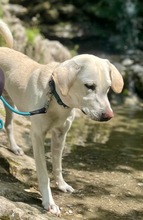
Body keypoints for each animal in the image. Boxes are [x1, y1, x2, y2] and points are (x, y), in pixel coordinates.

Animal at [0, 19, 123, 216]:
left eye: (108, 88)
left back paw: (15, 148)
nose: (108, 116)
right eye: (89, 86)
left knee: (9, 125)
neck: (55, 98)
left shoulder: (60, 135)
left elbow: (57, 164)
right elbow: (43, 174)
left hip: (11, 103)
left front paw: (62, 185)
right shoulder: (37, 136)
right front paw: (49, 202)